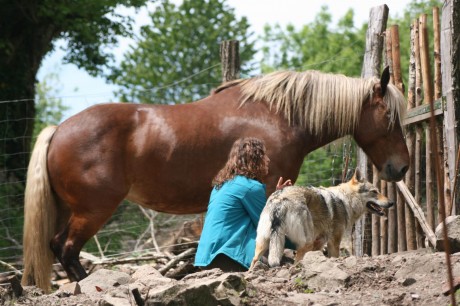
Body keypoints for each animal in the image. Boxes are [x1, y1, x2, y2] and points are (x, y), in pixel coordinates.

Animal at [250, 169, 394, 268]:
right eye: (374, 192)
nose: (391, 202)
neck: (346, 200)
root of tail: (280, 199)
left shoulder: (319, 243)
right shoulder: (334, 242)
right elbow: (335, 257)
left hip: (264, 242)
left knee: (254, 260)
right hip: (304, 243)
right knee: (296, 261)